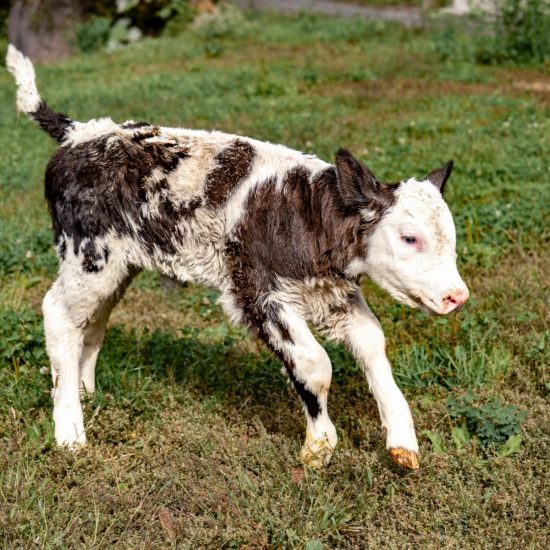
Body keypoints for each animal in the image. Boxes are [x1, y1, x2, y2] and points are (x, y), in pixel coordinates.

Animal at [5, 46, 470, 470]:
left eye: (450, 240)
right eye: (410, 238)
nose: (457, 296)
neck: (306, 212)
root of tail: (80, 131)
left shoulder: (333, 293)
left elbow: (374, 344)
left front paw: (402, 442)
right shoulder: (255, 291)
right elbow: (314, 365)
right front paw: (318, 447)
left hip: (117, 263)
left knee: (93, 318)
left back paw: (85, 391)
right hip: (88, 253)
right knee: (59, 313)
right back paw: (70, 432)